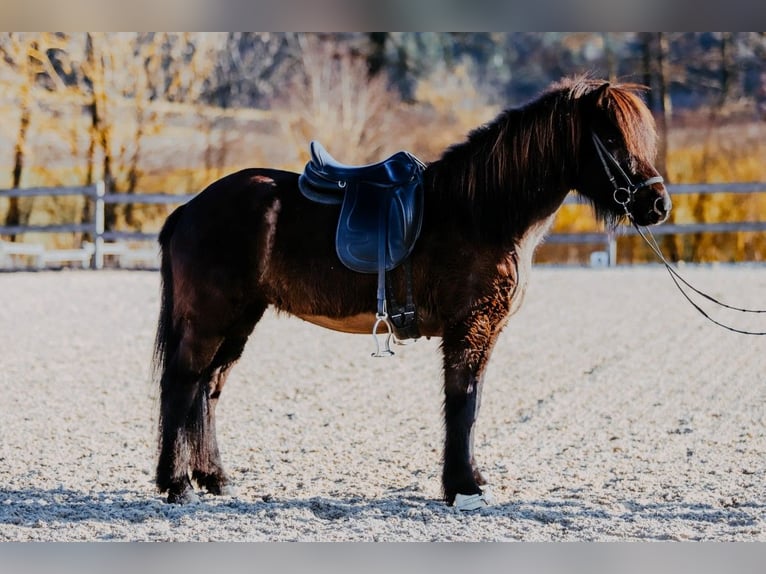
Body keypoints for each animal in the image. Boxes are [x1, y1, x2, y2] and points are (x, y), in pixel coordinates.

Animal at [152, 76, 672, 509]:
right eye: (610, 138)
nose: (657, 203)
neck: (480, 212)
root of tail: (191, 208)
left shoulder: (483, 329)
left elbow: (471, 402)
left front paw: (468, 481)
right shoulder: (470, 326)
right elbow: (463, 402)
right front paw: (464, 488)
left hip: (240, 320)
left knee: (208, 389)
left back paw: (214, 478)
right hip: (209, 319)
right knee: (181, 385)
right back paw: (176, 485)